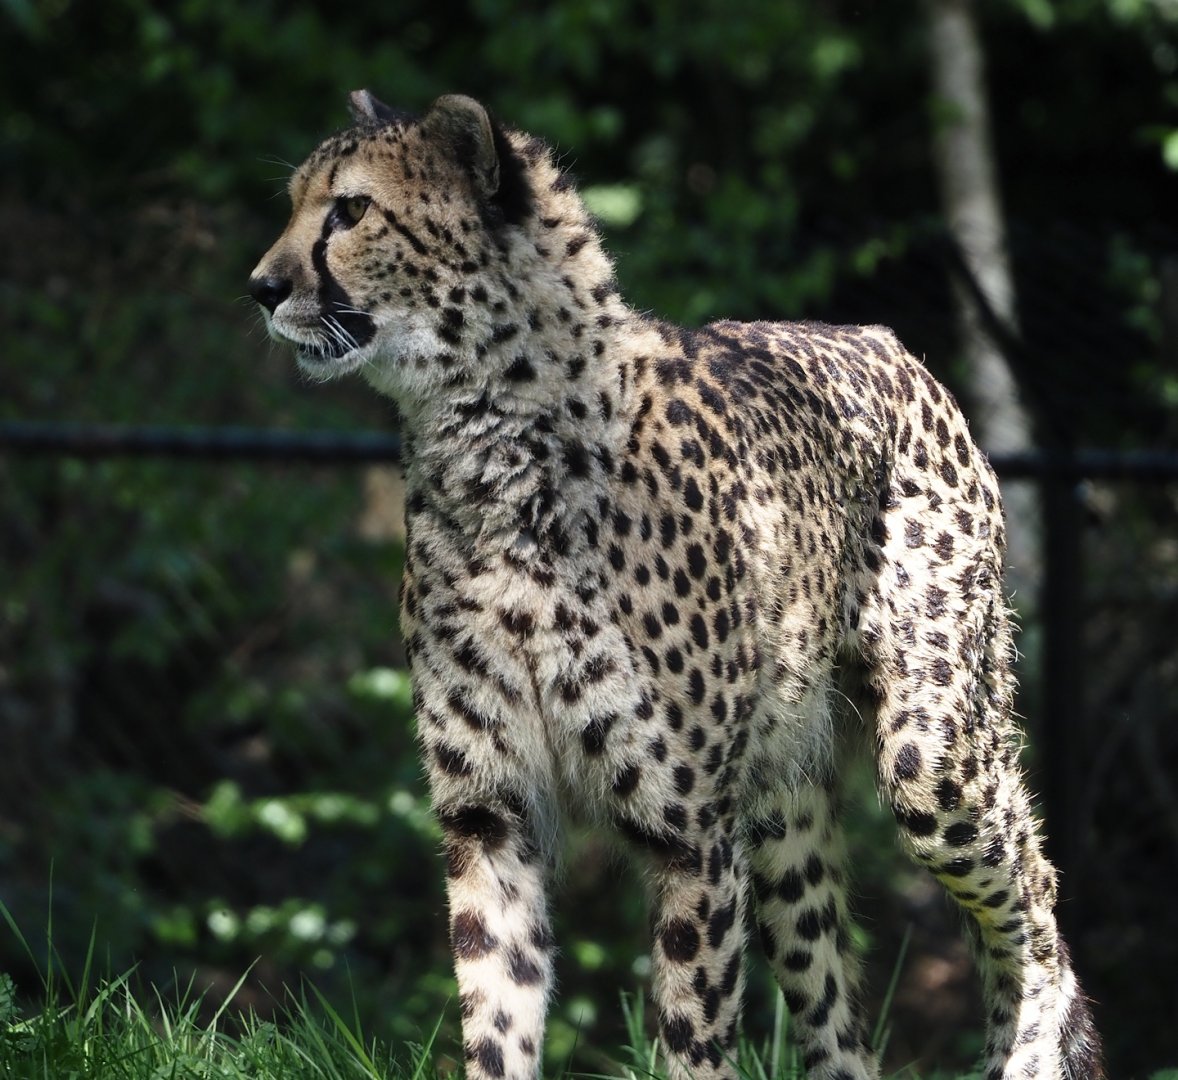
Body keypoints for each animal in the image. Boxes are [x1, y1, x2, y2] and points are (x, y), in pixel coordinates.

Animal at [249, 90, 1103, 1080]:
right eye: (296, 202)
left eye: (351, 210)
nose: (261, 286)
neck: (487, 447)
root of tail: (885, 341)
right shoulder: (491, 815)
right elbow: (496, 1012)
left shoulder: (691, 834)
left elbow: (692, 1037)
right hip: (781, 812)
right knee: (837, 1016)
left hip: (932, 758)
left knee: (1035, 887)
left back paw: (1031, 1045)